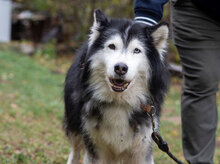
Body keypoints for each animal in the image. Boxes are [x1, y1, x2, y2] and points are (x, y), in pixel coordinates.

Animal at [62, 9, 169, 164]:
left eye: (137, 50)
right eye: (112, 46)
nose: (120, 68)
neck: (119, 102)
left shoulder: (143, 148)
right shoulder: (95, 147)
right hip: (75, 124)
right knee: (75, 151)